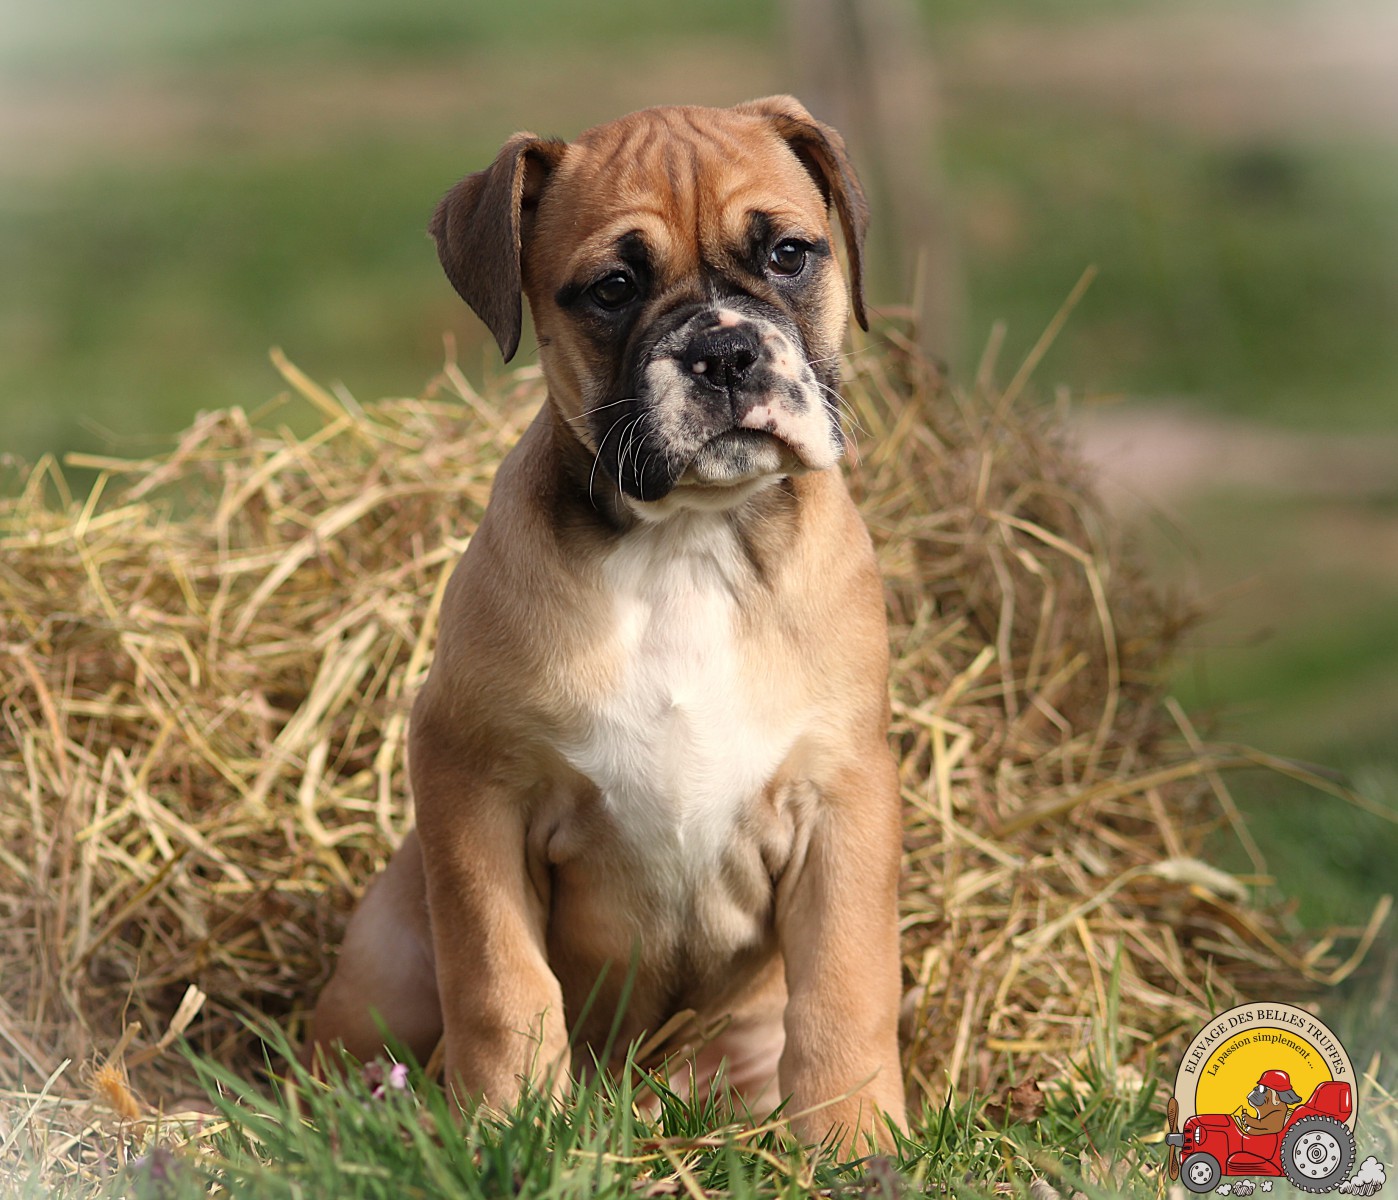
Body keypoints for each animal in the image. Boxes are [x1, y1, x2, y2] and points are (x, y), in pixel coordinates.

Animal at [305, 95, 906, 1152]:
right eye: (613, 288)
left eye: (790, 254)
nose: (725, 351)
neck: (688, 542)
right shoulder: (474, 785)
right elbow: (500, 978)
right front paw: (506, 1121)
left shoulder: (844, 798)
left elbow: (846, 984)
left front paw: (854, 1135)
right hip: (387, 956)